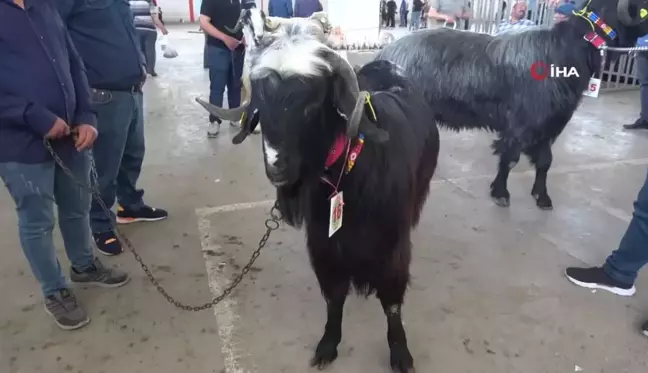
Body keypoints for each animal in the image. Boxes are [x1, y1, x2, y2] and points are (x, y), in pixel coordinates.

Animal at [197, 32, 440, 372]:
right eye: (260, 105)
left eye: (311, 104)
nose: (277, 166)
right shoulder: (323, 245)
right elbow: (334, 297)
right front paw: (327, 345)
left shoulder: (392, 248)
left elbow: (392, 302)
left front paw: (401, 354)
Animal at [378, 0, 648, 209]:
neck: (565, 51)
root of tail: (385, 53)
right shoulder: (522, 123)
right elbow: (510, 158)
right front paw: (501, 193)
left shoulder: (549, 125)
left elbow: (545, 161)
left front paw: (542, 197)